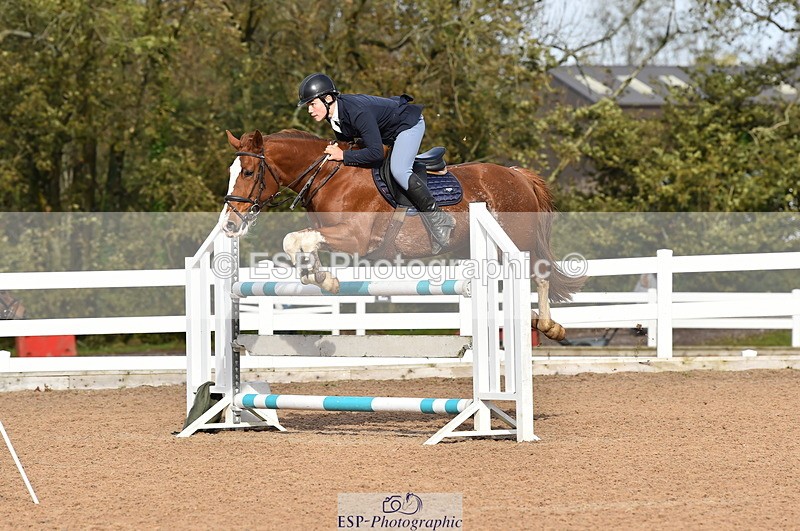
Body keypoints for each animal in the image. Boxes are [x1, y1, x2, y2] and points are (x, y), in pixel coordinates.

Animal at [222, 129, 583, 341]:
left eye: (249, 172)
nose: (229, 225)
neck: (330, 174)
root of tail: (516, 174)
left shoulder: (355, 238)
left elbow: (301, 238)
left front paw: (324, 279)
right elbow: (297, 240)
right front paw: (319, 276)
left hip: (519, 241)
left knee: (539, 273)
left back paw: (549, 326)